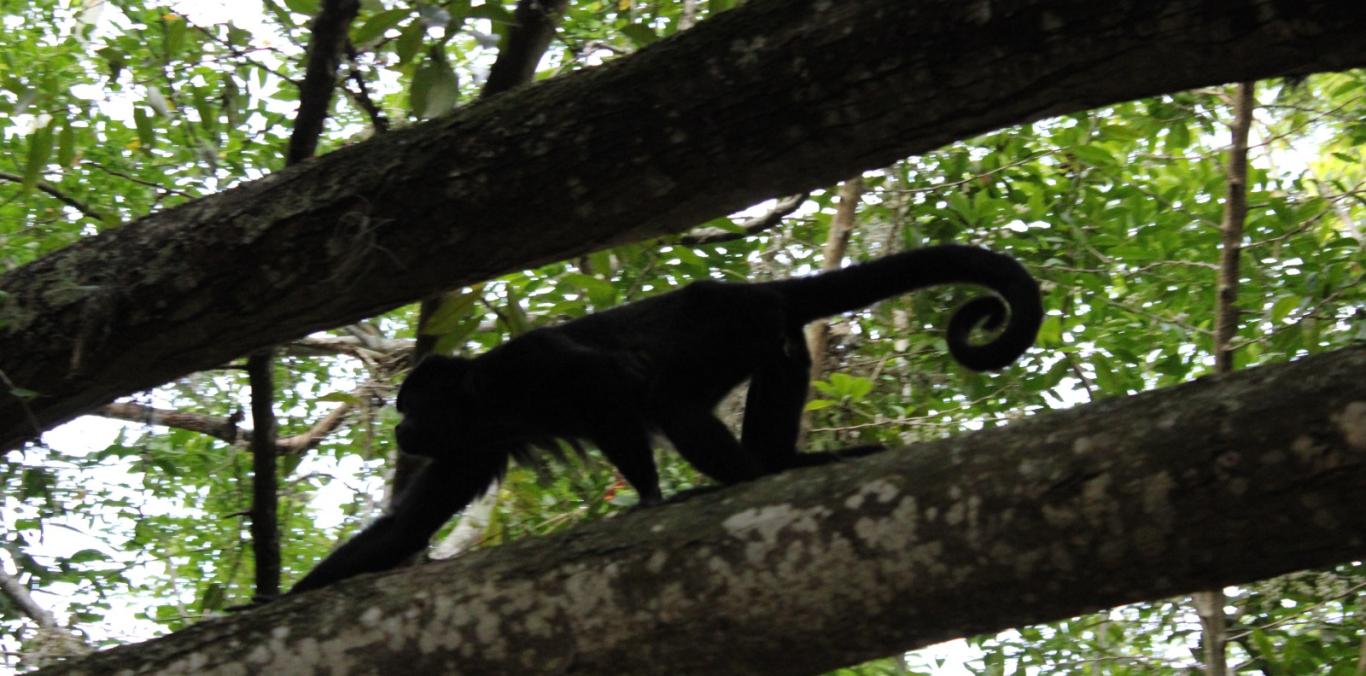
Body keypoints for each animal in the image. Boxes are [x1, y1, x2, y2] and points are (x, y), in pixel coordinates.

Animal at [285, 244, 1032, 592]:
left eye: (410, 408)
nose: (399, 430)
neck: (484, 402)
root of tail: (741, 290)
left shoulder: (528, 364)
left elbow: (610, 385)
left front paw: (645, 497)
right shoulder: (468, 447)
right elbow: (404, 529)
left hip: (724, 328)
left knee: (669, 399)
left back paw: (745, 480)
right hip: (768, 331)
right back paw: (785, 465)